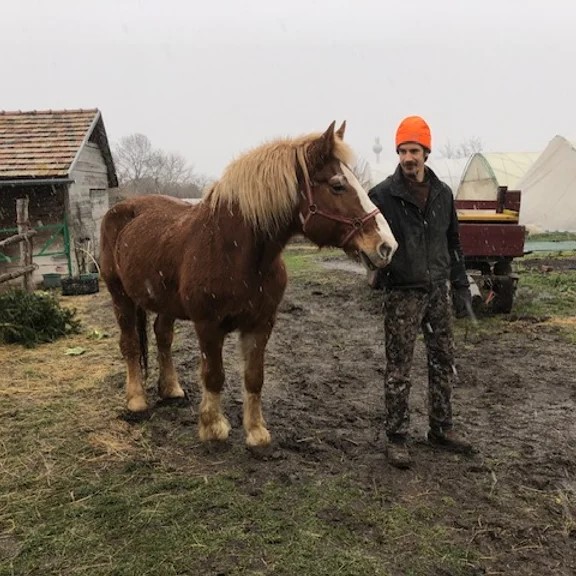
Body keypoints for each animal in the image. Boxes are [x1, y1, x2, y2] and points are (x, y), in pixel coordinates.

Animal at [101, 120, 396, 446]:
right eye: (337, 185)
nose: (386, 246)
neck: (234, 252)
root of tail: (123, 209)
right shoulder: (208, 325)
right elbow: (214, 375)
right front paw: (213, 426)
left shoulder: (261, 324)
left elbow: (254, 378)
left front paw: (256, 431)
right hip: (120, 296)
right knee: (129, 344)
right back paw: (136, 399)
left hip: (165, 302)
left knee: (162, 335)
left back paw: (171, 389)